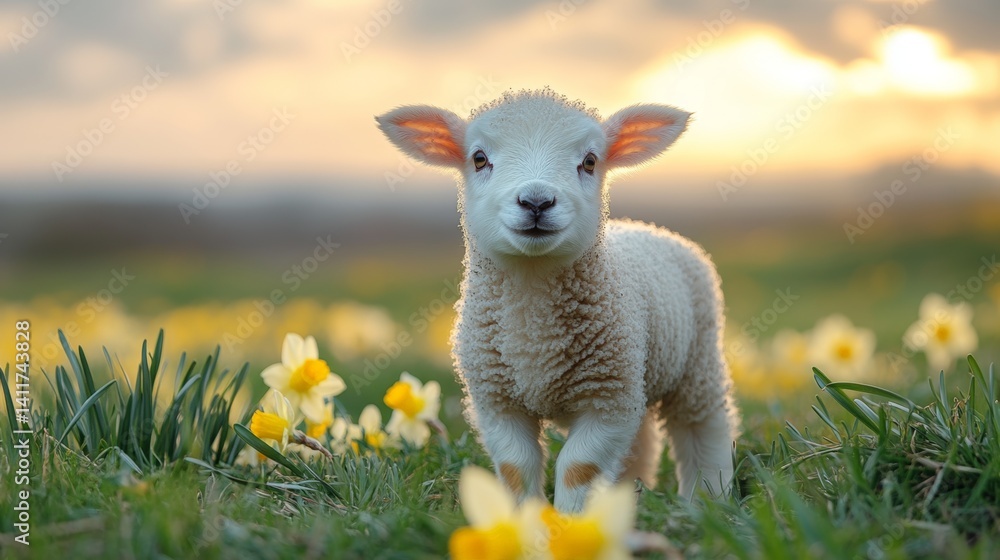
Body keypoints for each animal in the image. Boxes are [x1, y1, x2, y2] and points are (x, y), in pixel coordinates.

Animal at [376, 88, 738, 513]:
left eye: (590, 161)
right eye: (479, 158)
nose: (536, 202)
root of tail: (647, 227)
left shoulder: (606, 399)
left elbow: (578, 467)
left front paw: (570, 520)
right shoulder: (498, 401)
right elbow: (516, 468)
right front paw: (526, 518)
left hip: (695, 363)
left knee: (703, 426)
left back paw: (708, 497)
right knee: (642, 439)